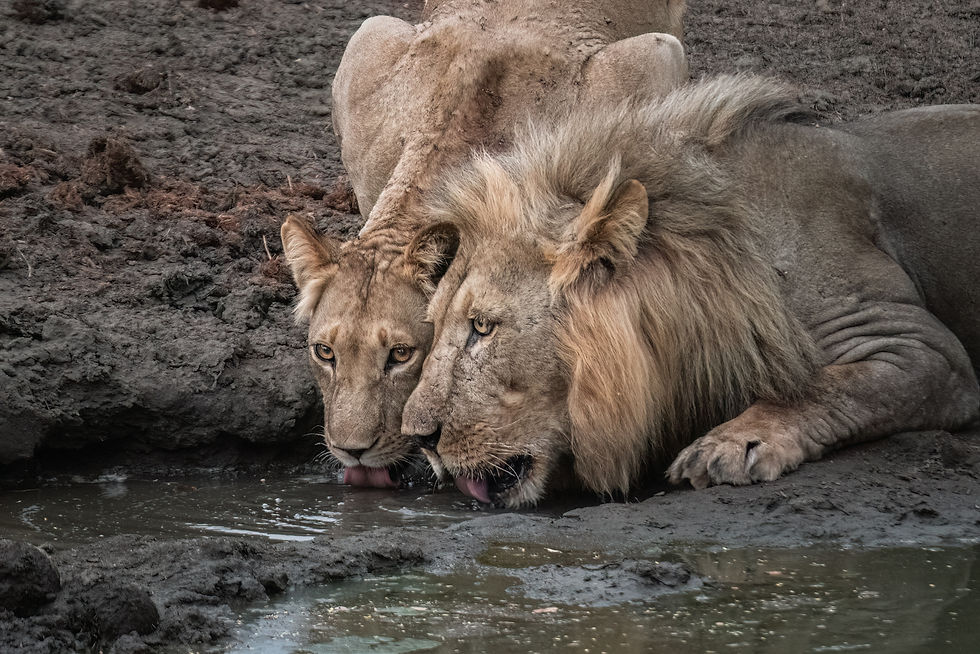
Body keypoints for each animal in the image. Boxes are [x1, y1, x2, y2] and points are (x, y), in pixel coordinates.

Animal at [400, 74, 980, 507]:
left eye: (482, 327)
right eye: (439, 324)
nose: (418, 439)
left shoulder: (917, 344)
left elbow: (823, 386)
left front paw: (730, 444)